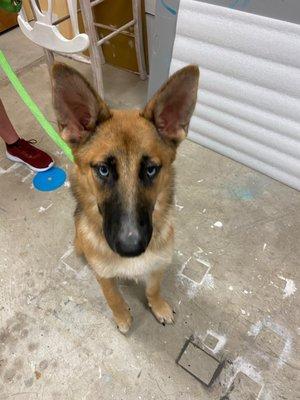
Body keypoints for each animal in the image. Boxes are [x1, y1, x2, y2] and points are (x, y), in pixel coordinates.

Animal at [51, 61, 199, 332]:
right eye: (103, 169)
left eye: (151, 169)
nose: (131, 248)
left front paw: (158, 307)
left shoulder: (157, 266)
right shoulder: (103, 276)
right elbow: (113, 297)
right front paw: (122, 317)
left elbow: (153, 289)